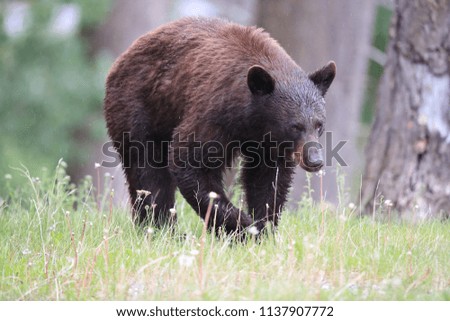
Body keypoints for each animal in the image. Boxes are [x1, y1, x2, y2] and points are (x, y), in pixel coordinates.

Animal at [103, 16, 336, 234]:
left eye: (319, 124)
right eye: (295, 126)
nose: (315, 160)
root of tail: (120, 59)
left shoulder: (268, 143)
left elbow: (268, 179)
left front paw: (264, 226)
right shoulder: (213, 114)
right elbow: (192, 162)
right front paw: (243, 226)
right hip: (139, 107)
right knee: (147, 170)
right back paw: (161, 227)